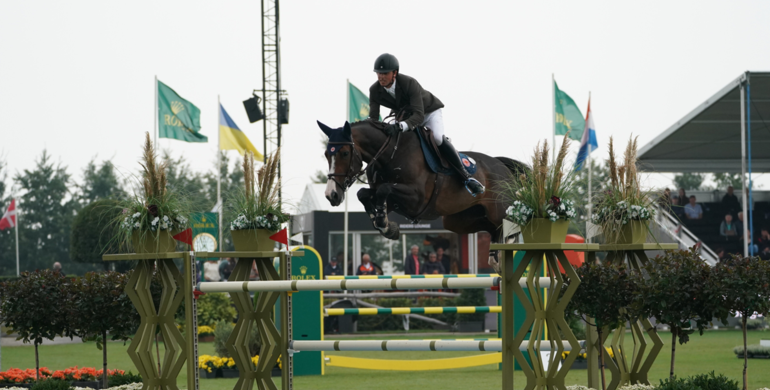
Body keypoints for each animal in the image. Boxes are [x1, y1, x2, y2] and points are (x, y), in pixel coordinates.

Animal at [316, 120, 524, 258]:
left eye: (344, 153)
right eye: (326, 154)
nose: (331, 195)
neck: (390, 154)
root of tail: (500, 164)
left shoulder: (416, 199)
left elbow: (384, 189)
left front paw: (385, 225)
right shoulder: (392, 201)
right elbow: (364, 194)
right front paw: (384, 225)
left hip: (499, 210)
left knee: (508, 224)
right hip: (457, 220)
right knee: (490, 227)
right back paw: (495, 253)